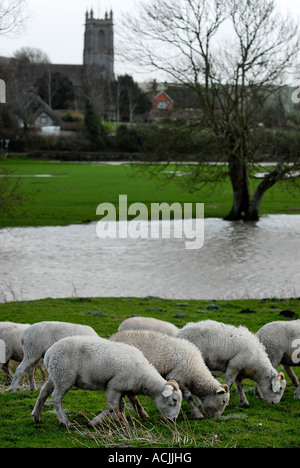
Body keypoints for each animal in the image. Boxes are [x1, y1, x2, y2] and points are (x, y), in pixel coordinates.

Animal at [32, 336, 183, 428]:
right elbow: (112, 407)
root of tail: (49, 353)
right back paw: (65, 422)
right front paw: (94, 422)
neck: (142, 376)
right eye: (174, 400)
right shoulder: (114, 386)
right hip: (64, 376)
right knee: (56, 397)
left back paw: (36, 416)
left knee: (43, 393)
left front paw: (126, 419)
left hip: (56, 375)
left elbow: (126, 404)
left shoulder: (124, 388)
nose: (174, 420)